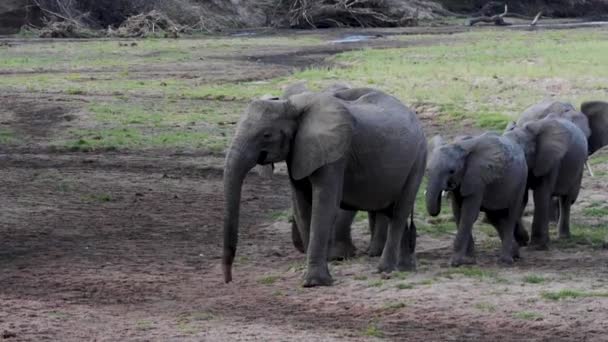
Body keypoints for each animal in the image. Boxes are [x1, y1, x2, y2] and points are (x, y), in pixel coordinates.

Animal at [223, 83, 428, 286]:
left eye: (266, 135)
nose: (228, 280)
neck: (291, 106)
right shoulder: (299, 152)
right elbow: (302, 204)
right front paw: (315, 274)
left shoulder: (335, 154)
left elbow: (325, 203)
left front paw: (315, 282)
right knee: (391, 211)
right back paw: (405, 268)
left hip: (418, 161)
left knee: (399, 212)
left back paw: (385, 269)